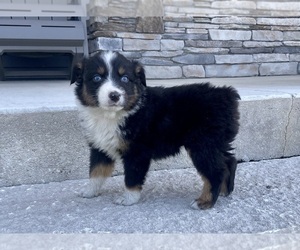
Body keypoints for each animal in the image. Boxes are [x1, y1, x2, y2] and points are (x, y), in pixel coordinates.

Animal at [70, 50, 239, 209]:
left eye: (125, 79)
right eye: (96, 78)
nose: (114, 95)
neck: (110, 116)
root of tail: (226, 93)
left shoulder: (137, 152)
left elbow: (132, 177)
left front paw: (128, 199)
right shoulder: (99, 147)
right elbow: (96, 172)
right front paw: (89, 192)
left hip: (203, 144)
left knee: (215, 171)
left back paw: (205, 201)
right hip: (216, 142)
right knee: (229, 161)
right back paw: (224, 191)